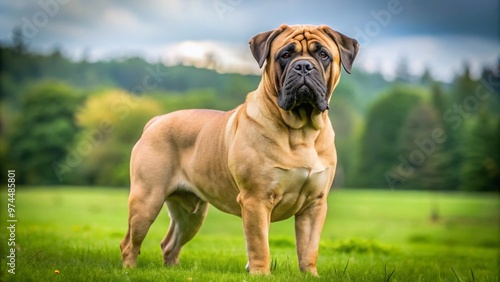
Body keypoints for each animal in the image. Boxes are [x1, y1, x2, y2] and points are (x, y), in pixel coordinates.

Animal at [119, 24, 358, 276]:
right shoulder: (256, 199)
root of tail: (156, 120)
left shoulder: (314, 204)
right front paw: (261, 274)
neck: (301, 131)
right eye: (285, 55)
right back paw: (129, 270)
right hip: (147, 199)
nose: (303, 66)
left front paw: (310, 274)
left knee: (170, 243)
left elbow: (309, 248)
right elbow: (259, 244)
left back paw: (174, 269)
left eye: (323, 55)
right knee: (130, 242)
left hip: (191, 213)